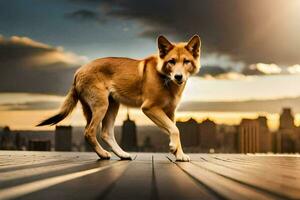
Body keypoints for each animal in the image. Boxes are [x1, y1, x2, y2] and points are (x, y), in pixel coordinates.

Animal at [37, 35, 202, 162]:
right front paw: (174, 148)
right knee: (89, 131)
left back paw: (122, 154)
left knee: (106, 132)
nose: (178, 77)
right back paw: (103, 154)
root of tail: (79, 71)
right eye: (171, 61)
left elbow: (174, 129)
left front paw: (179, 154)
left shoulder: (170, 112)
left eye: (186, 61)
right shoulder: (150, 108)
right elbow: (175, 130)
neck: (165, 79)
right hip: (102, 105)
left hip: (111, 105)